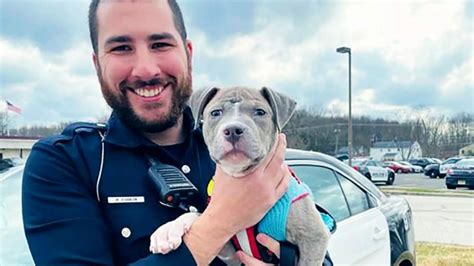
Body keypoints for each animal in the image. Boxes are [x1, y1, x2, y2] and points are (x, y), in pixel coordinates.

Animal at [151, 86, 330, 264]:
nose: (232, 130)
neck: (239, 173)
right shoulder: (230, 251)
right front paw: (167, 231)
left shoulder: (314, 236)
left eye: (260, 112)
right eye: (215, 113)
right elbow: (197, 215)